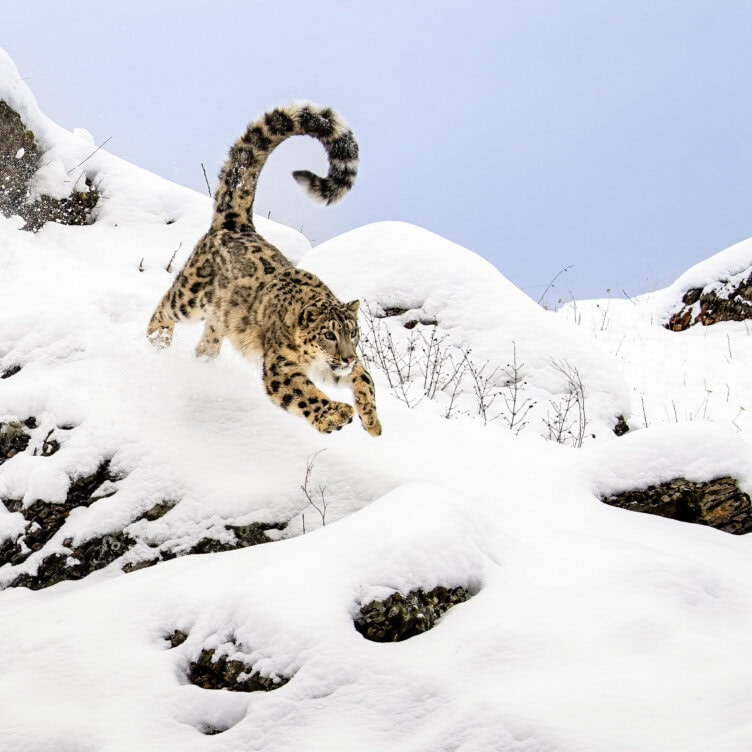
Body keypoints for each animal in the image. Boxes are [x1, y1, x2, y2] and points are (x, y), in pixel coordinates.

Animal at [146, 102, 381, 436]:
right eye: (328, 334)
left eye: (354, 332)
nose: (346, 357)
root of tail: (237, 225)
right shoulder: (281, 366)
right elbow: (304, 394)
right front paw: (335, 415)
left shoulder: (337, 367)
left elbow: (365, 378)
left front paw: (372, 421)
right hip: (191, 296)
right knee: (165, 306)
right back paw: (158, 341)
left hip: (218, 323)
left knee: (206, 344)